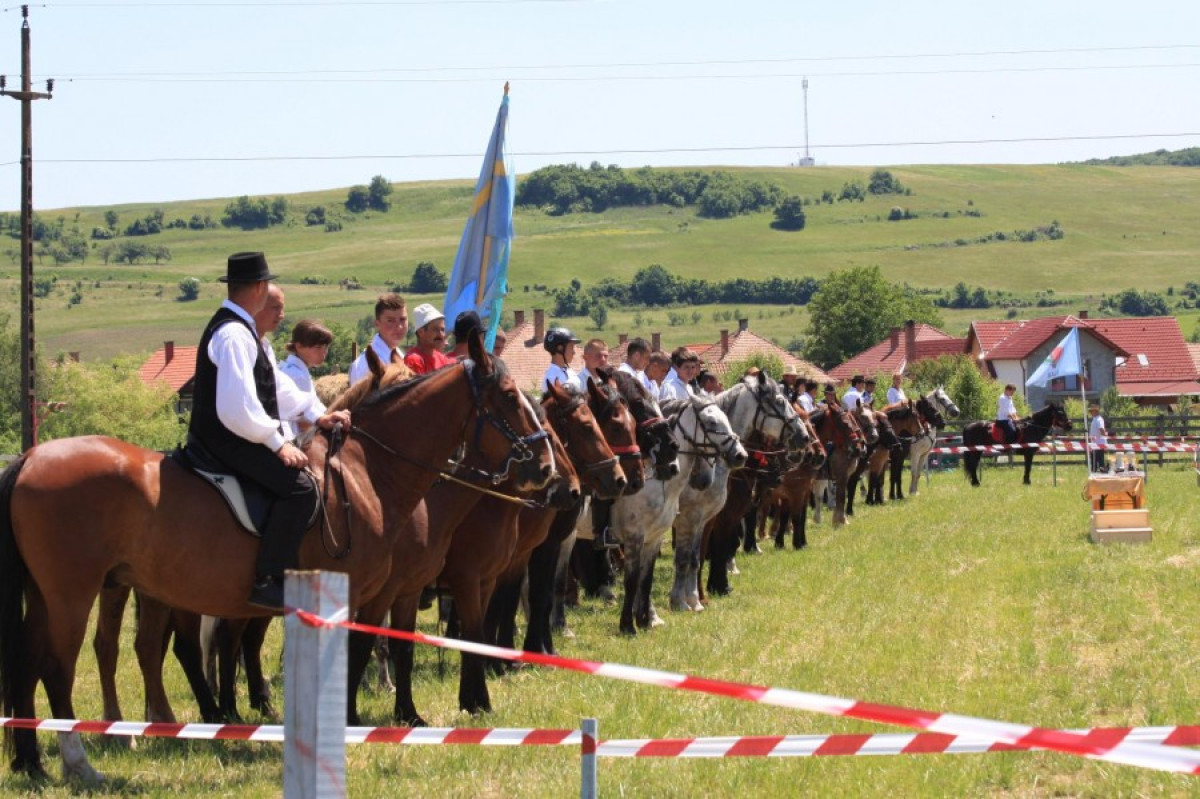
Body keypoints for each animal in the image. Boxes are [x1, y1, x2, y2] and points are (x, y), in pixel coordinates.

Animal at [0, 328, 552, 777]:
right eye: (509, 396)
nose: (545, 465)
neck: (365, 472)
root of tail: (30, 457)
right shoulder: (367, 592)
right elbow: (357, 655)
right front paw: (350, 723)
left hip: (58, 595)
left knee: (32, 661)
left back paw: (33, 761)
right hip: (75, 594)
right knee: (61, 667)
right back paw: (81, 758)